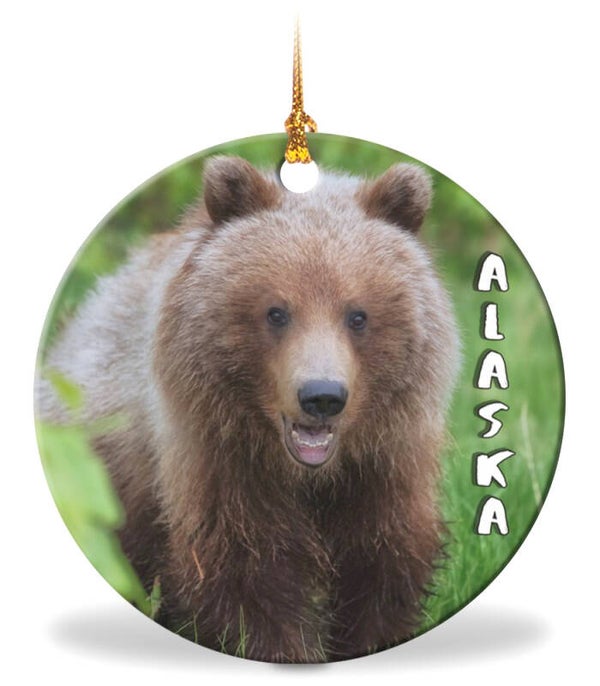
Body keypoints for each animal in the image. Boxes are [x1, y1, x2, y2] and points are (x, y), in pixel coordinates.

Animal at [37, 156, 459, 662]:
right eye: (277, 312)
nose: (322, 396)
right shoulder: (221, 458)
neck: (309, 475)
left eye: (358, 315)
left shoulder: (386, 460)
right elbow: (246, 573)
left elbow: (383, 561)